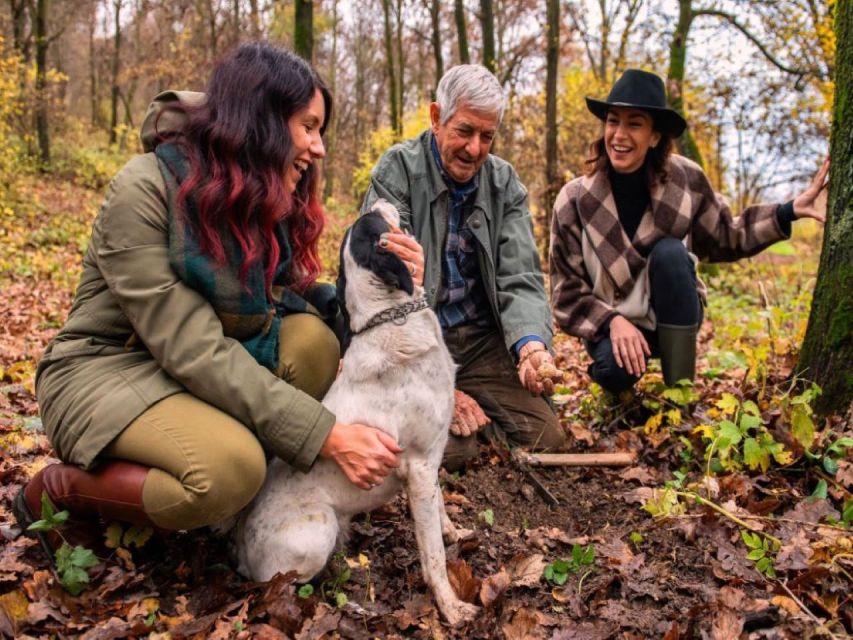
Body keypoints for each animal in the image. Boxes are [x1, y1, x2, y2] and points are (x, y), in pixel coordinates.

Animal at [233, 199, 480, 624]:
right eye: (375, 221)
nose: (378, 200)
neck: (392, 318)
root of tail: (243, 550)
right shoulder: (418, 467)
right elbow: (432, 554)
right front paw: (450, 607)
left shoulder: (431, 462)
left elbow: (440, 509)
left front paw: (454, 533)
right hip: (319, 529)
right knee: (280, 586)